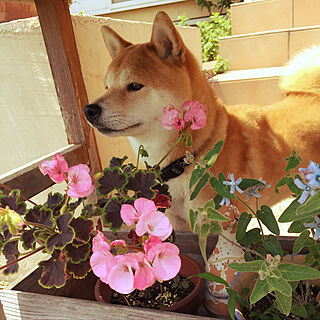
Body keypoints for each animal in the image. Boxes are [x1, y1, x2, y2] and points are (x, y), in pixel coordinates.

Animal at [84, 10, 320, 230]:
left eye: (134, 86)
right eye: (107, 87)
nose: (88, 110)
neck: (190, 158)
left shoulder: (221, 225)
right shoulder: (176, 222)